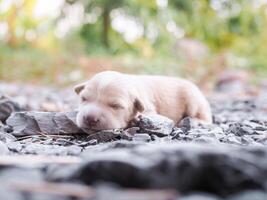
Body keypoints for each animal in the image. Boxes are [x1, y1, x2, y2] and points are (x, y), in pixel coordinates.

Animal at [74, 70, 213, 130]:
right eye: (83, 99)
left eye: (116, 106)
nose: (90, 119)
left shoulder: (149, 107)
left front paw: (136, 120)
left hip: (194, 100)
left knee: (206, 118)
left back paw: (195, 121)